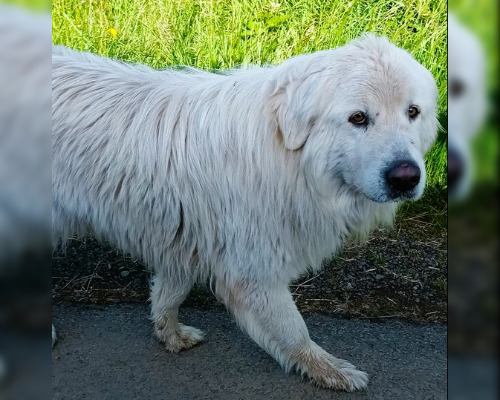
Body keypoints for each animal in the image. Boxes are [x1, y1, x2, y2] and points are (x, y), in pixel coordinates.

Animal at [51, 34, 438, 390]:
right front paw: (329, 371)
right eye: (358, 117)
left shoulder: (183, 240)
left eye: (412, 112)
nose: (406, 177)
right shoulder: (255, 272)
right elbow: (294, 330)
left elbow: (169, 294)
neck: (290, 159)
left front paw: (170, 334)